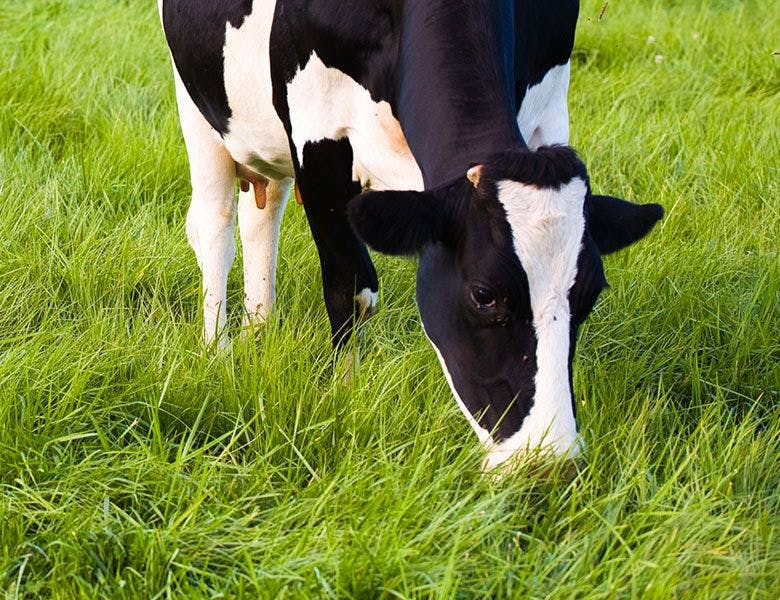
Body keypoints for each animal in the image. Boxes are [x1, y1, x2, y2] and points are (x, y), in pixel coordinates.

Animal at [160, 0, 664, 472]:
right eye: (483, 295)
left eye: (591, 293)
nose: (549, 461)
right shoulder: (315, 131)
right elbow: (351, 287)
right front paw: (344, 395)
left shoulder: (549, 105)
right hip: (197, 108)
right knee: (217, 228)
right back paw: (219, 350)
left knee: (261, 218)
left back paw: (258, 329)